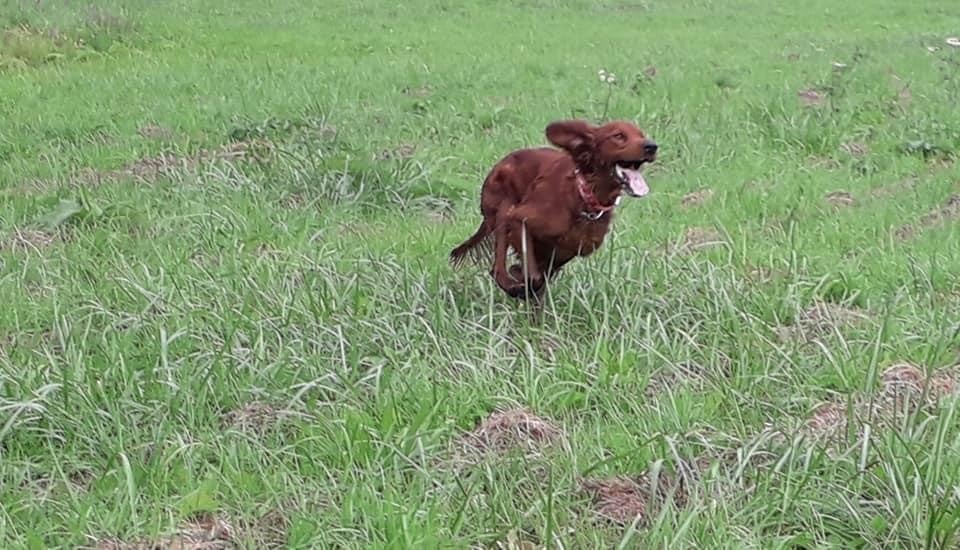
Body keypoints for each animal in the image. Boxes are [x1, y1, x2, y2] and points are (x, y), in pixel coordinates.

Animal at [450, 120, 652, 300]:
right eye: (618, 136)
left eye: (642, 135)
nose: (652, 146)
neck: (584, 198)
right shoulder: (519, 219)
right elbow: (534, 277)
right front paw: (521, 285)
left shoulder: (568, 250)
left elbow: (539, 277)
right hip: (502, 209)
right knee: (497, 270)